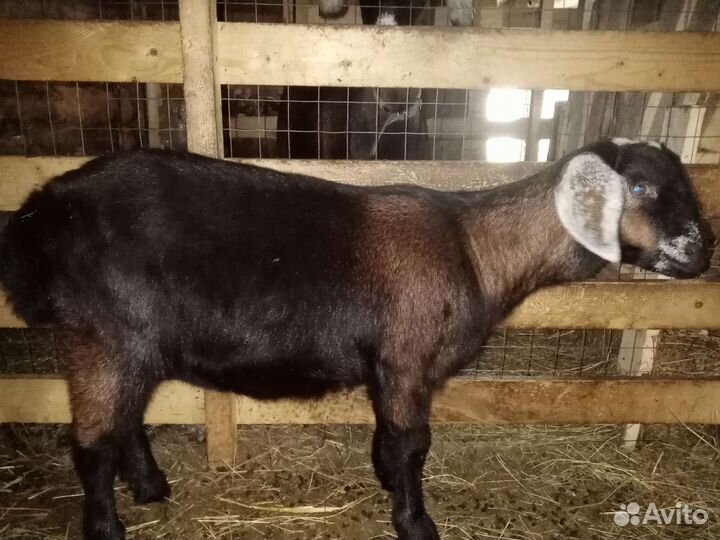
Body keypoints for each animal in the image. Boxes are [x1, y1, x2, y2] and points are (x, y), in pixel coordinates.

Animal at [0, 139, 711, 540]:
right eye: (639, 186)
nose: (703, 248)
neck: (476, 248)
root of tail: (40, 208)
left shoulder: (387, 365)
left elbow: (389, 440)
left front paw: (385, 482)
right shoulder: (407, 356)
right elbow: (414, 444)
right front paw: (416, 522)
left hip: (133, 341)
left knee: (125, 420)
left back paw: (150, 488)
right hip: (102, 333)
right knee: (93, 441)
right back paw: (107, 527)